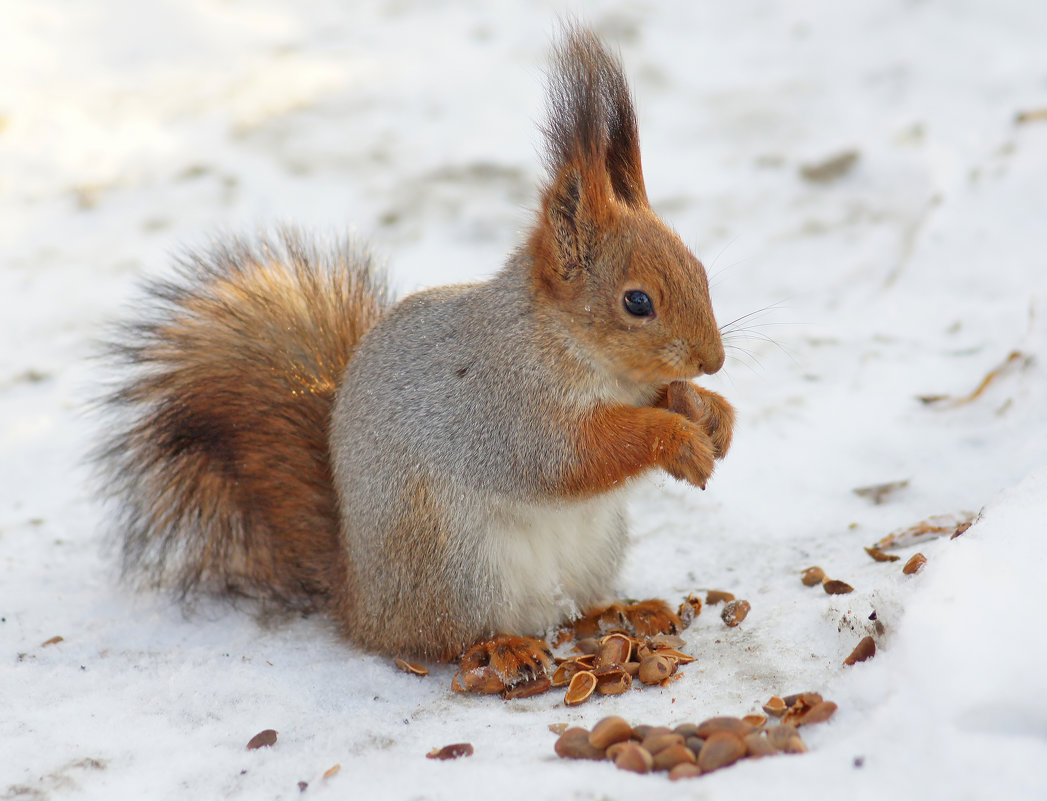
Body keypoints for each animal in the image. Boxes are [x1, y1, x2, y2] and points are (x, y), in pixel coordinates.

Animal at [99, 28, 737, 691]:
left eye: (698, 269)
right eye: (637, 302)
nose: (713, 361)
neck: (578, 351)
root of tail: (360, 601)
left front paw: (713, 413)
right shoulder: (511, 409)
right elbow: (576, 456)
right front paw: (677, 438)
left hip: (592, 546)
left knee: (572, 607)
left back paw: (622, 613)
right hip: (454, 560)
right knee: (446, 640)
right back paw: (505, 649)